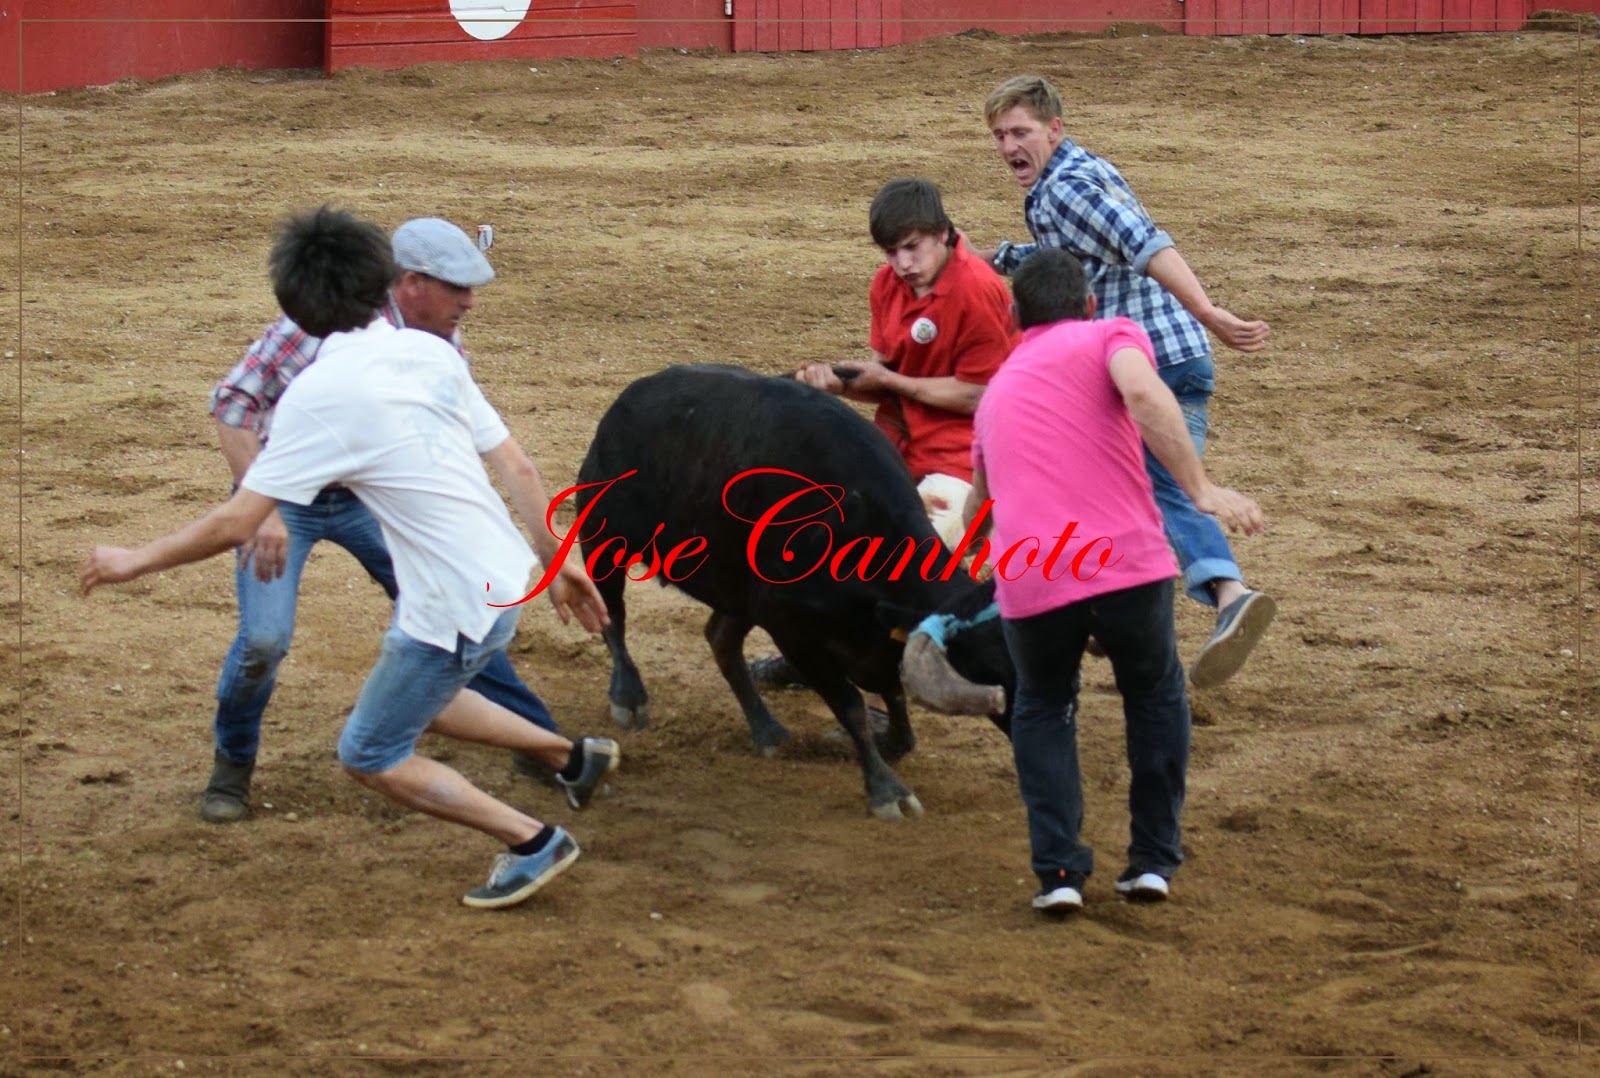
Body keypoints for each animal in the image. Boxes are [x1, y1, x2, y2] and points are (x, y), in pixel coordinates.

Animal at [572, 363, 990, 820]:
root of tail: (629, 399)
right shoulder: (793, 631)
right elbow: (850, 705)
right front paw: (885, 790)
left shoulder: (870, 642)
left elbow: (894, 697)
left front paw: (884, 745)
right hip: (603, 537)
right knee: (612, 614)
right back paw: (629, 697)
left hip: (740, 592)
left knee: (720, 639)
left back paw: (766, 729)